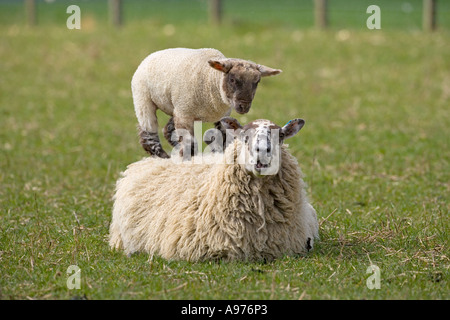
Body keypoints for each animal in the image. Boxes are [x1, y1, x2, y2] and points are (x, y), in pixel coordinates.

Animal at [132, 47, 284, 158]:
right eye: (232, 80)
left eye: (257, 82)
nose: (244, 106)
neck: (211, 80)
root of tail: (152, 55)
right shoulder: (184, 114)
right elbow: (189, 145)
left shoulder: (221, 116)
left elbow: (223, 139)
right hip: (143, 99)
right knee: (148, 134)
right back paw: (163, 156)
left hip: (176, 108)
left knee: (167, 130)